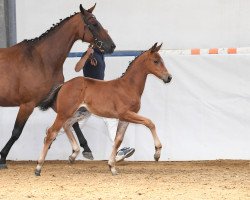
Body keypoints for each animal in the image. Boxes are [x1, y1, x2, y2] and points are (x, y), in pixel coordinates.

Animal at [0, 3, 115, 168]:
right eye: (94, 24)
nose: (112, 46)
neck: (42, 60)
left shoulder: (53, 100)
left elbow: (73, 124)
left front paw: (83, 150)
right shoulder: (27, 104)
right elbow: (16, 132)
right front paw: (2, 158)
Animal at [34, 43, 172, 176]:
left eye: (162, 60)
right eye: (156, 61)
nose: (169, 77)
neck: (128, 87)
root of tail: (64, 85)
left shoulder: (125, 118)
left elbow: (118, 140)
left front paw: (112, 167)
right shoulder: (126, 114)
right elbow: (150, 123)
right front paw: (157, 153)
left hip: (79, 113)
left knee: (66, 126)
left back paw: (73, 154)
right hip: (64, 113)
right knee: (52, 132)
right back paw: (38, 167)